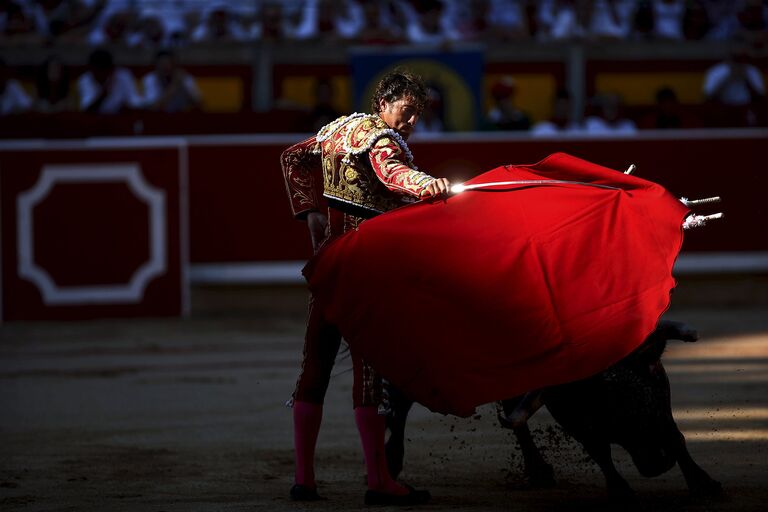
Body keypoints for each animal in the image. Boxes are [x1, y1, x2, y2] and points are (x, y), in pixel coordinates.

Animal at [388, 318, 724, 498]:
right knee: (401, 401)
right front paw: (620, 490)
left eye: (647, 398)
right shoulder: (574, 417)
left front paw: (703, 483)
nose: (657, 464)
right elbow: (599, 450)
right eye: (601, 410)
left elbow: (675, 434)